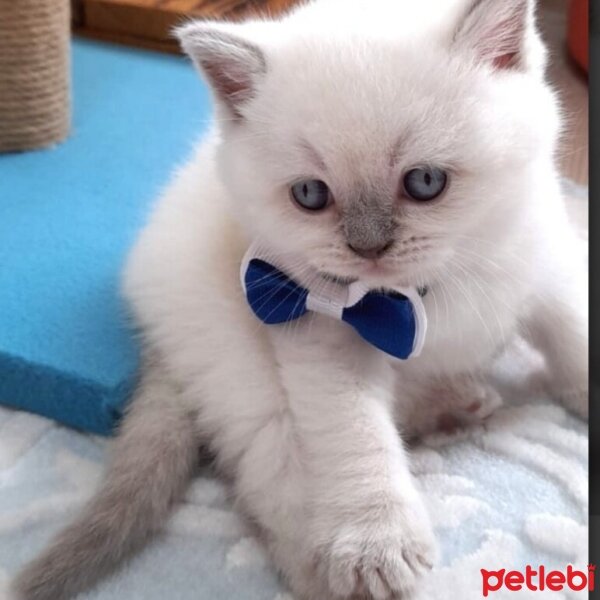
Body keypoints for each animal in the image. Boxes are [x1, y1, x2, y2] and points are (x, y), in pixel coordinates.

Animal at [12, 1, 584, 600]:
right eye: (310, 195)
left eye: (425, 182)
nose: (367, 247)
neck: (421, 297)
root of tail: (156, 341)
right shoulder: (319, 332)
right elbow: (358, 436)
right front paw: (378, 544)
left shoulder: (550, 264)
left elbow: (575, 339)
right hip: (247, 383)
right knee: (278, 494)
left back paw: (460, 403)